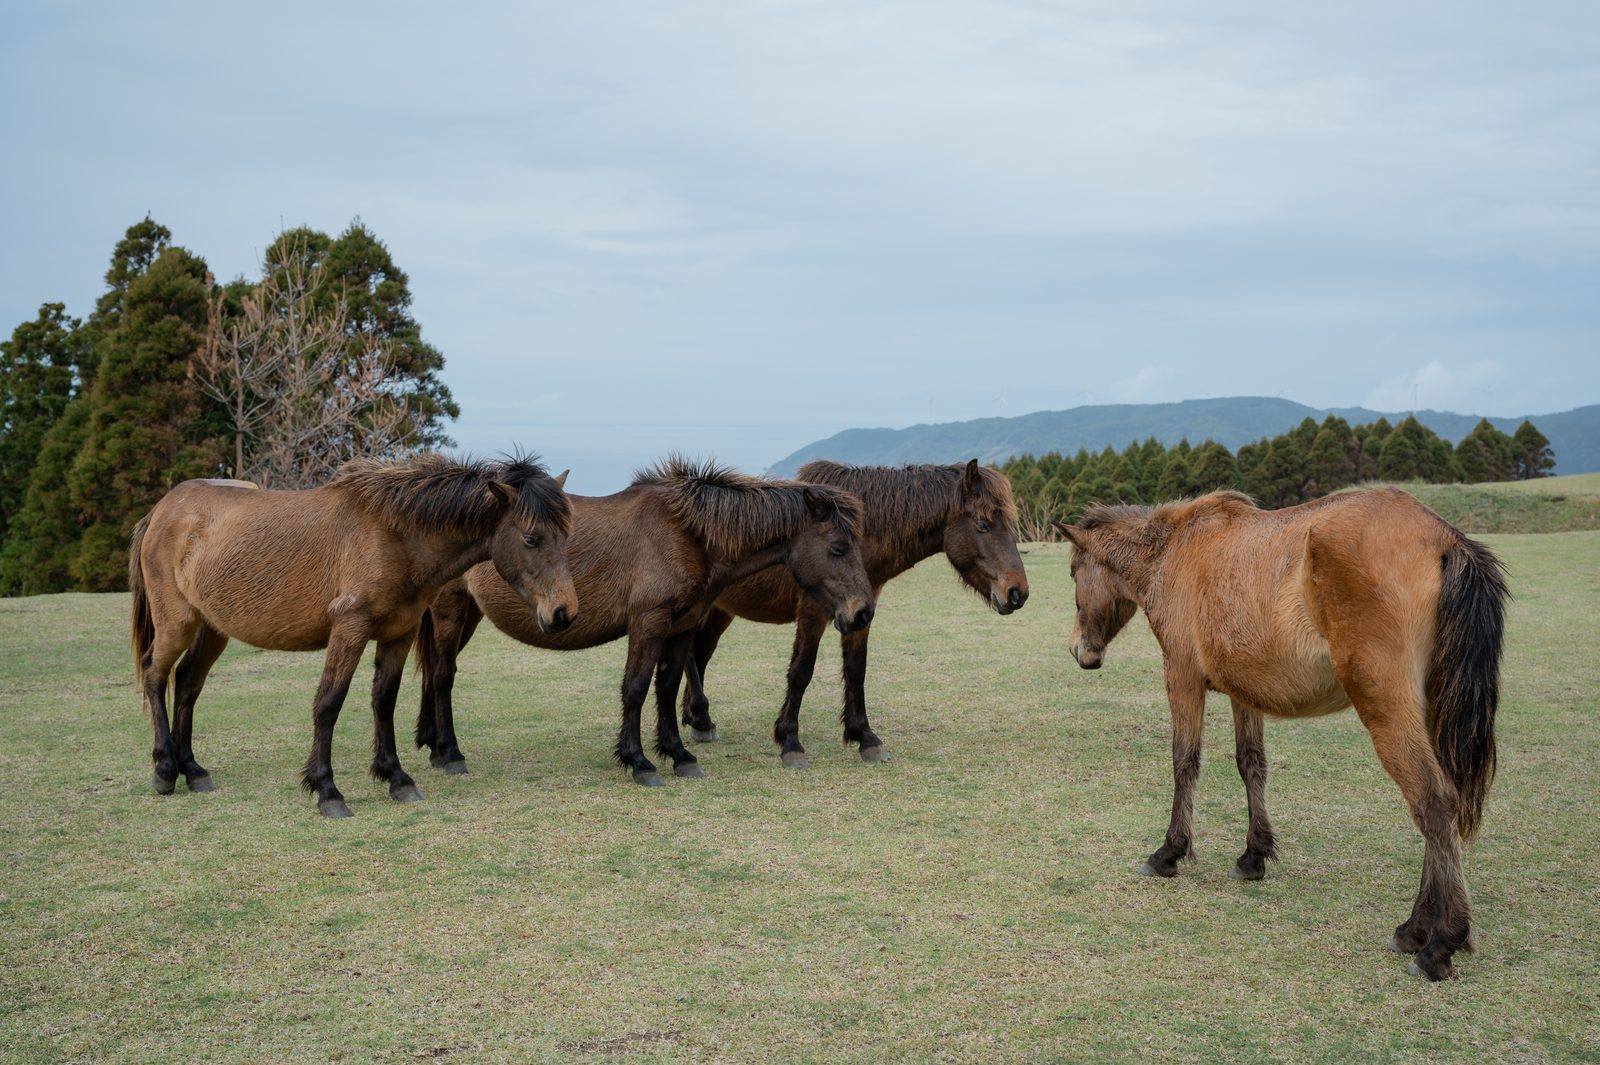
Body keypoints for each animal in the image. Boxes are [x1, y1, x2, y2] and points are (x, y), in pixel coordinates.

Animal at [129, 454, 577, 817]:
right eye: (531, 538)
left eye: (565, 536)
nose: (563, 613)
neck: (394, 535)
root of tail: (162, 511)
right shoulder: (349, 628)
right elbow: (329, 704)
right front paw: (327, 790)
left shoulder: (399, 633)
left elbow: (384, 701)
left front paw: (396, 777)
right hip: (177, 623)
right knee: (155, 675)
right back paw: (165, 769)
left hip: (212, 629)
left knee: (187, 682)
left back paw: (193, 770)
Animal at [413, 457, 876, 786]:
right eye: (837, 548)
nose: (863, 612)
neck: (684, 535)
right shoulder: (648, 622)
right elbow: (635, 688)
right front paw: (638, 761)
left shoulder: (682, 624)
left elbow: (667, 686)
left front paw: (679, 754)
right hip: (451, 611)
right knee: (443, 676)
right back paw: (450, 753)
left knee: (434, 673)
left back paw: (433, 746)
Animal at [676, 459, 1029, 768]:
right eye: (983, 525)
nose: (1018, 592)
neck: (856, 537)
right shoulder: (815, 610)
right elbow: (801, 671)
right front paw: (790, 741)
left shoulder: (860, 613)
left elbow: (856, 670)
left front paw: (865, 737)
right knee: (691, 654)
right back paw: (701, 718)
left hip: (720, 611)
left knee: (700, 654)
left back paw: (698, 720)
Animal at [1057, 488, 1507, 980]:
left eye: (1074, 573)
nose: (1080, 651)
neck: (1174, 550)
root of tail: (1444, 538)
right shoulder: (1242, 691)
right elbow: (1251, 764)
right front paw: (1254, 856)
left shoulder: (1182, 676)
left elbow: (1185, 762)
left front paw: (1169, 853)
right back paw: (1414, 930)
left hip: (1388, 709)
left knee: (1433, 802)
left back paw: (1439, 944)